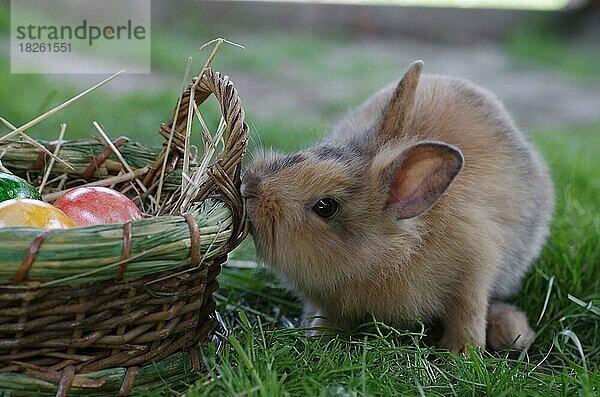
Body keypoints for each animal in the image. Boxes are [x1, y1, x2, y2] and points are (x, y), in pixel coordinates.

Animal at [241, 60, 556, 352]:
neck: (392, 256)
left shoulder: (473, 273)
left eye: (326, 206)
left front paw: (460, 353)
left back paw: (513, 333)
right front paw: (318, 339)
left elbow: (468, 315)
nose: (249, 188)